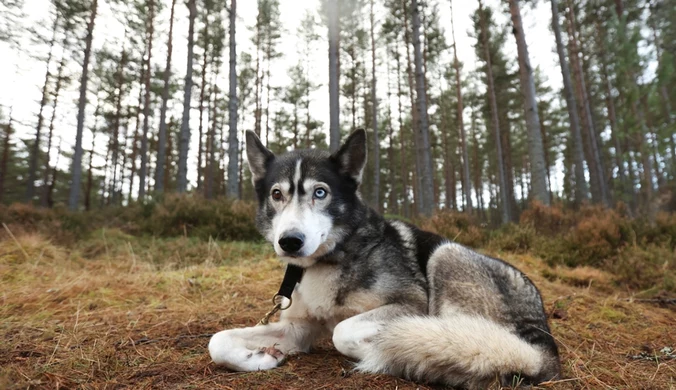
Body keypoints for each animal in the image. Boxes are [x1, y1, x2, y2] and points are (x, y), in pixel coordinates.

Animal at [207, 130, 560, 386]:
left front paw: (388, 350)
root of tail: (545, 345)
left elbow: (343, 331)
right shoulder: (298, 329)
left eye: (320, 192)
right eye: (276, 194)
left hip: (445, 254)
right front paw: (261, 357)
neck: (333, 256)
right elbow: (217, 341)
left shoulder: (411, 304)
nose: (290, 242)